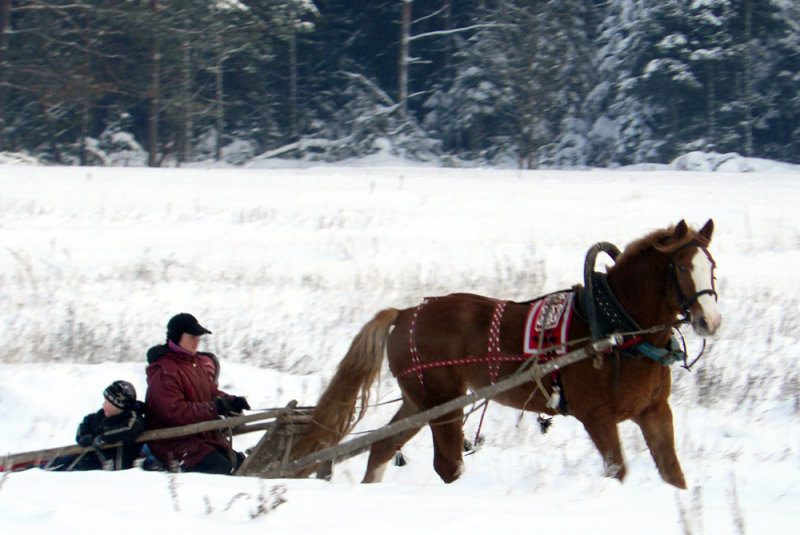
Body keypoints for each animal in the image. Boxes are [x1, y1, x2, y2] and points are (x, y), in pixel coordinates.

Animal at [290, 219, 720, 490]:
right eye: (683, 267)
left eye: (712, 267)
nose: (710, 321)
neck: (615, 328)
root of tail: (406, 313)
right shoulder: (597, 417)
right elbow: (618, 471)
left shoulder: (655, 412)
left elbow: (674, 475)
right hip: (443, 403)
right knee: (448, 465)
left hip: (419, 401)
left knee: (381, 448)